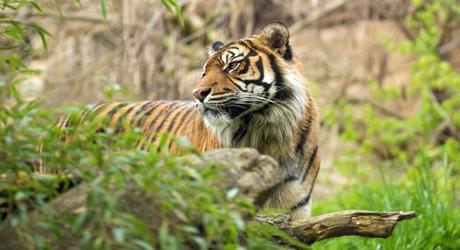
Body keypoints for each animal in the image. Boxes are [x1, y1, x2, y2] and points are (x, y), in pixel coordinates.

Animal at [38, 21, 320, 221]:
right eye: (205, 72)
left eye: (232, 66)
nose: (197, 93)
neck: (266, 131)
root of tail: (60, 119)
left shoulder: (296, 212)